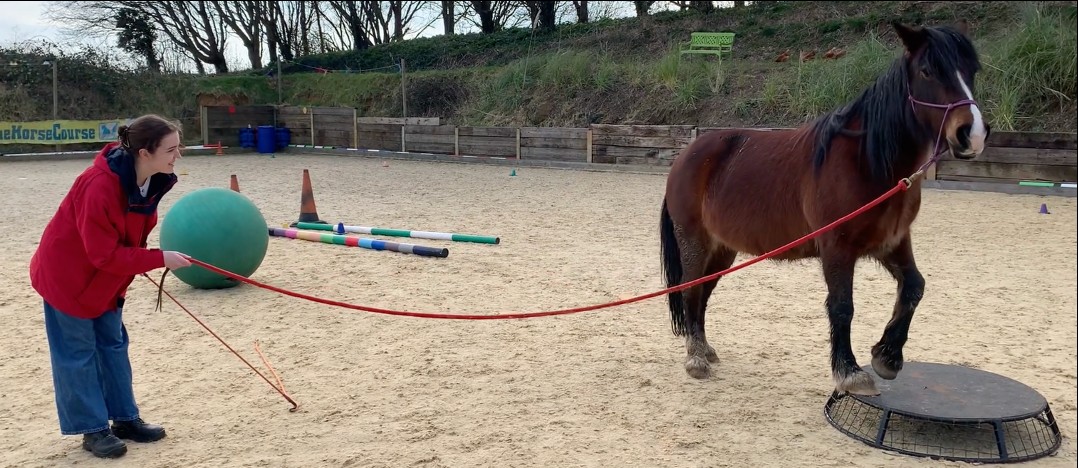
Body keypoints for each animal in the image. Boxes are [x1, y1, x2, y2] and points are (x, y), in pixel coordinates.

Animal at [658, 21, 990, 396]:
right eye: (927, 71)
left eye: (971, 70)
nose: (972, 134)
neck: (867, 161)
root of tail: (686, 155)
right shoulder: (837, 247)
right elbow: (842, 306)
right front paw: (850, 372)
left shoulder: (892, 242)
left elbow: (914, 287)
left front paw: (887, 357)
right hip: (694, 241)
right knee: (689, 289)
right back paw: (695, 359)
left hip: (723, 249)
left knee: (703, 293)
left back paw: (705, 349)